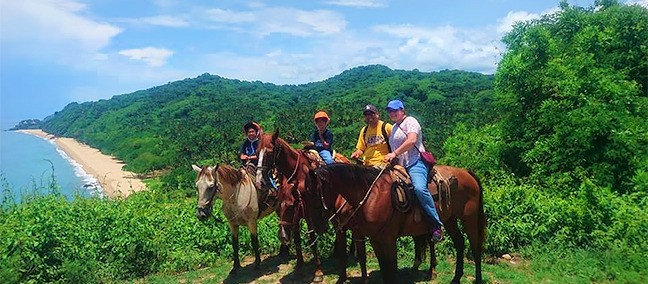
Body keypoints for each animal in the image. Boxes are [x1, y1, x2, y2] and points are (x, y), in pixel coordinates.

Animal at [256, 132, 432, 282]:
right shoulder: (298, 215)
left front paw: (318, 272)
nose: (259, 181)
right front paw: (299, 268)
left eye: (270, 152)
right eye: (257, 151)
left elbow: (314, 240)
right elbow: (299, 240)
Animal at [306, 163, 486, 284]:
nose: (316, 226)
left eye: (316, 191)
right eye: (305, 191)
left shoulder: (388, 240)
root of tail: (467, 173)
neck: (372, 195)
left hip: (469, 218)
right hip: (450, 220)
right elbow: (385, 269)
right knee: (460, 243)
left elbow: (391, 270)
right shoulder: (375, 239)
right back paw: (455, 278)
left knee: (475, 247)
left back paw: (477, 279)